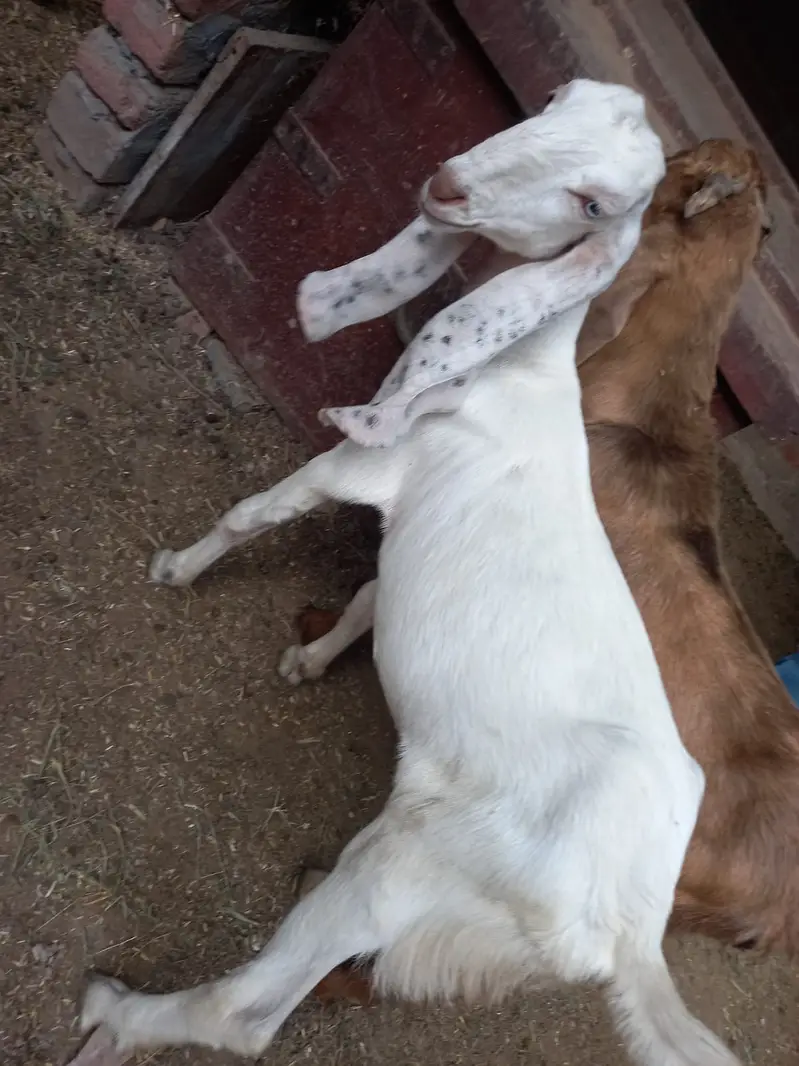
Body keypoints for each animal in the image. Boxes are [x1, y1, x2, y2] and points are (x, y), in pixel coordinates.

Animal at [80, 82, 736, 1066]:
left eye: (593, 204)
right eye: (554, 101)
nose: (450, 184)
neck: (513, 371)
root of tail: (622, 934)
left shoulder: (358, 465)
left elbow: (256, 513)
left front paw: (177, 569)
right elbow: (367, 593)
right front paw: (309, 661)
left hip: (407, 864)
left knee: (245, 1012)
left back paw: (113, 1011)